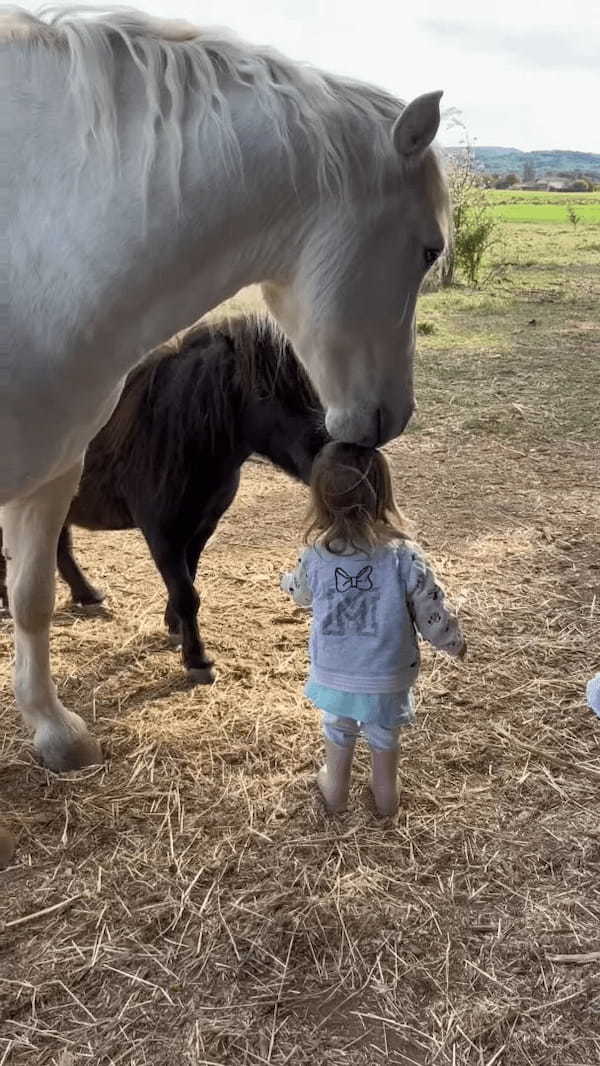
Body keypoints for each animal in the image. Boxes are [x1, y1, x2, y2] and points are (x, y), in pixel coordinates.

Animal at [1, 315, 328, 682]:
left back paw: (88, 595)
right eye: (263, 391)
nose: (329, 457)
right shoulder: (162, 534)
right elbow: (186, 594)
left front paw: (174, 627)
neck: (180, 435)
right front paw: (197, 660)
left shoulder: (201, 529)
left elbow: (189, 578)